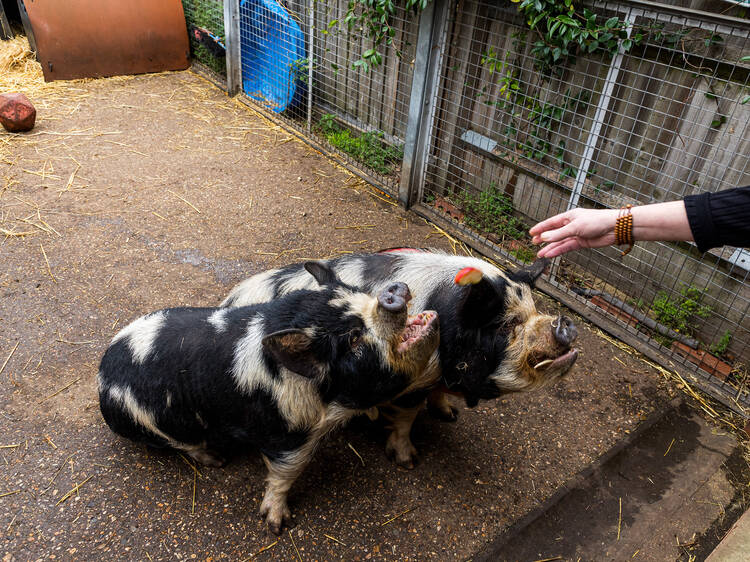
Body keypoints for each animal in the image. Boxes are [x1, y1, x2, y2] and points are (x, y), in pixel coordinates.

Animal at [99, 260, 440, 532]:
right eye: (353, 339)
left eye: (361, 293)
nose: (390, 293)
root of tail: (102, 377)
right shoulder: (286, 435)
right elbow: (285, 473)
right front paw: (276, 525)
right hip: (158, 427)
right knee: (186, 445)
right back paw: (216, 460)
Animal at [220, 248, 580, 464]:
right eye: (508, 324)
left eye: (534, 310)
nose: (564, 323)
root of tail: (228, 300)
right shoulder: (411, 377)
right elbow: (407, 418)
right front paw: (408, 459)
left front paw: (449, 415)